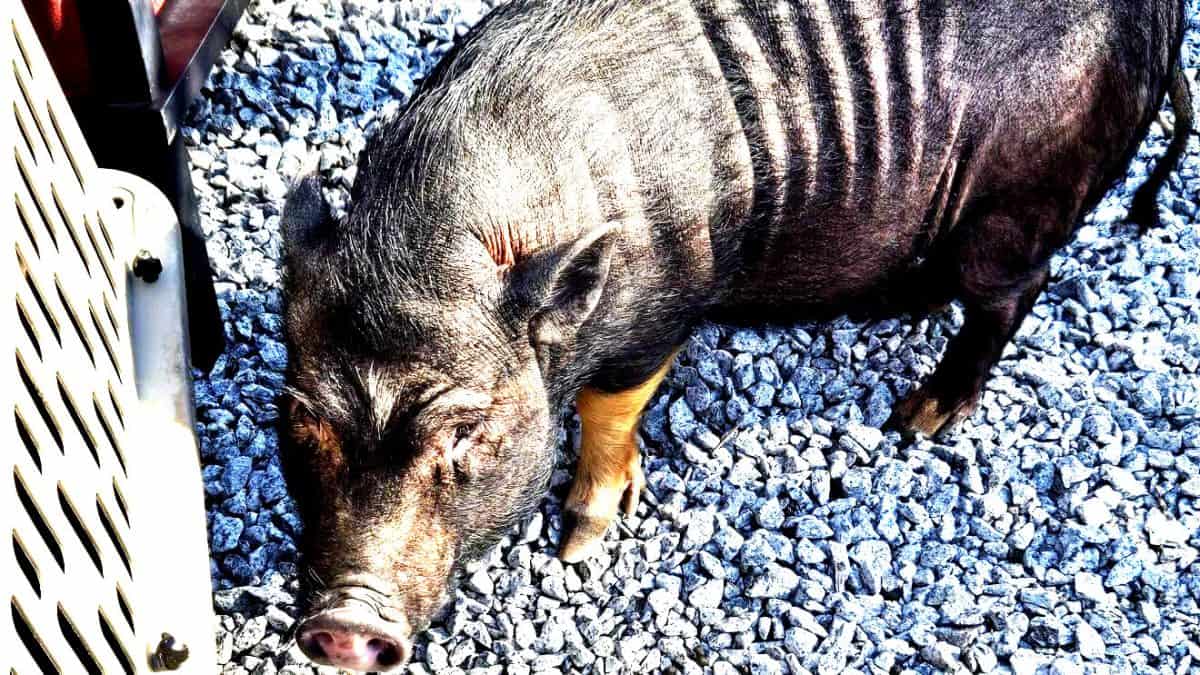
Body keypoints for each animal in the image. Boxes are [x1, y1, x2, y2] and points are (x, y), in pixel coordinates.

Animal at [277, 0, 1192, 669]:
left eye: (466, 431)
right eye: (300, 418)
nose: (344, 624)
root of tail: (1160, 20)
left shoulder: (663, 311)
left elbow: (612, 409)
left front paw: (577, 543)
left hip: (1021, 202)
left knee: (1017, 289)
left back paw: (919, 418)